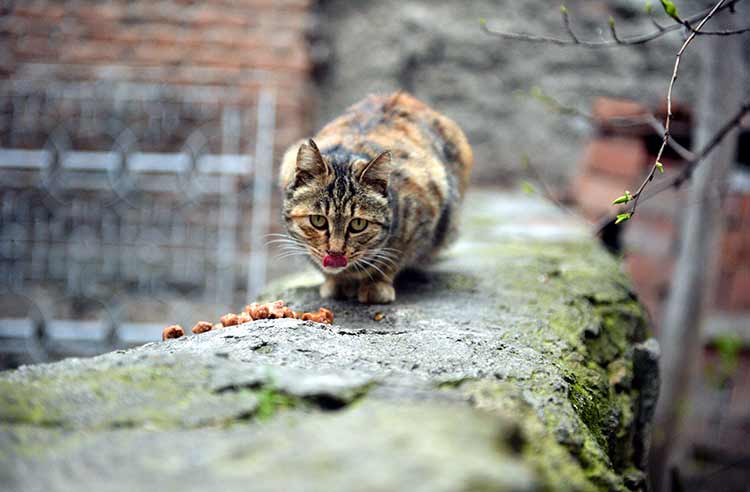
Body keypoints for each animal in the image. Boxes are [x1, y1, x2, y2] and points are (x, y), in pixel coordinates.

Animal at [280, 90, 472, 302]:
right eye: (318, 221)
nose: (335, 253)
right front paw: (337, 282)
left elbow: (394, 257)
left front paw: (375, 285)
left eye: (358, 224)